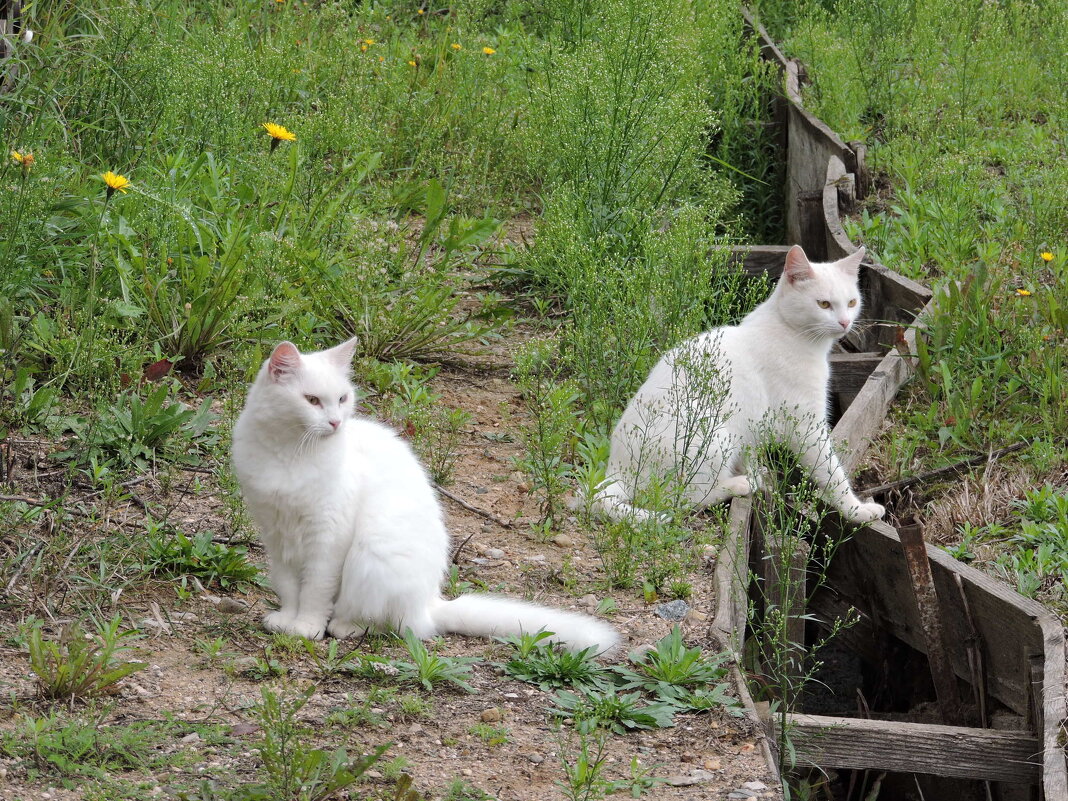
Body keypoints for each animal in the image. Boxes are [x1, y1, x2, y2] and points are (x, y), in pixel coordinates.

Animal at [233, 335, 619, 653]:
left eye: (341, 399)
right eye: (312, 401)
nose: (335, 422)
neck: (289, 453)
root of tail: (430, 604)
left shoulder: (327, 536)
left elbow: (314, 590)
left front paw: (306, 628)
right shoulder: (276, 532)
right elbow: (289, 586)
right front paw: (287, 619)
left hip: (373, 553)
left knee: (395, 624)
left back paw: (344, 626)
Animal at [593, 247, 884, 529]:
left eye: (851, 302)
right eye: (824, 304)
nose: (845, 322)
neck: (789, 331)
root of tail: (617, 469)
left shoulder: (755, 427)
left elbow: (752, 453)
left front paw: (757, 469)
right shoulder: (805, 425)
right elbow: (831, 472)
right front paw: (856, 510)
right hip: (715, 434)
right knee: (683, 498)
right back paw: (739, 484)